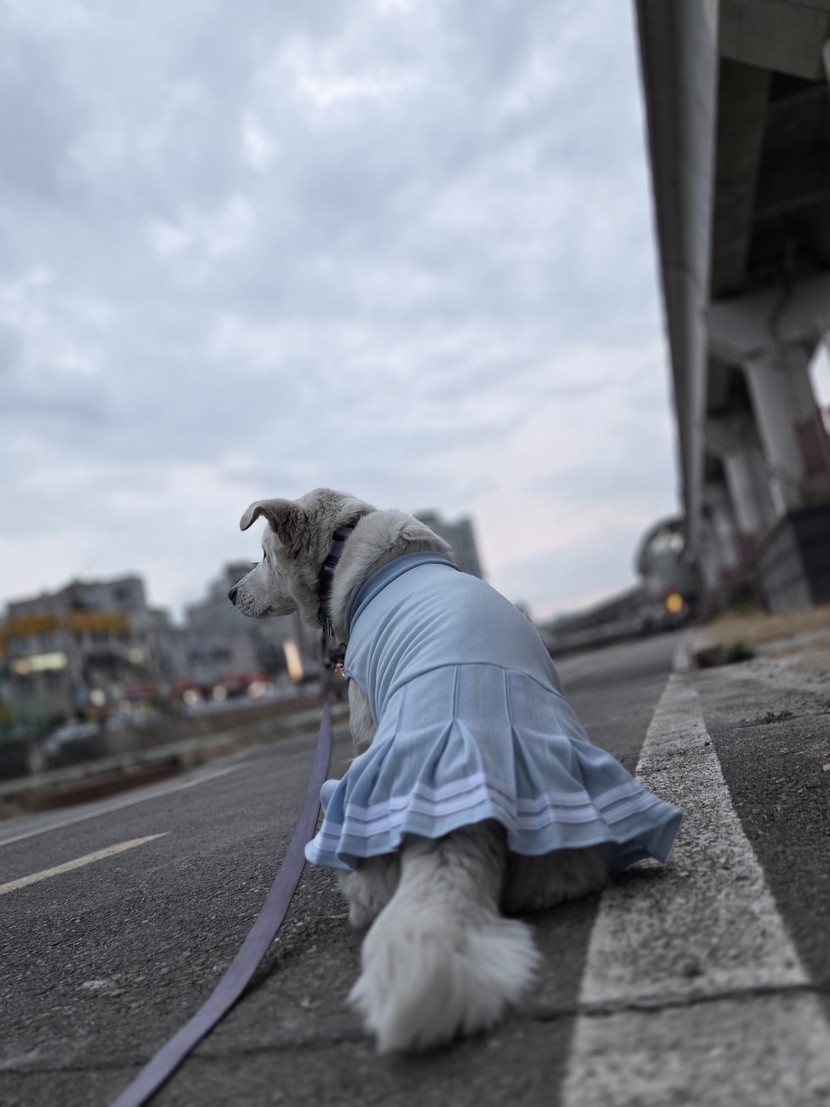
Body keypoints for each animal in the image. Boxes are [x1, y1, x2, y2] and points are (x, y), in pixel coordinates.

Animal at [229, 488, 681, 1053]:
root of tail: (457, 827)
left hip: (346, 801)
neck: (345, 546)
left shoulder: (364, 717)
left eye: (263, 556)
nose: (229, 593)